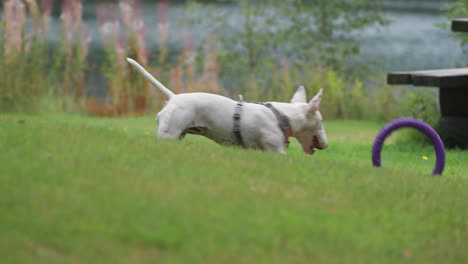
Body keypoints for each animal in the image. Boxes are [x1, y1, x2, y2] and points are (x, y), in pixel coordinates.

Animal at [126, 56, 328, 154]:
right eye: (321, 121)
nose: (326, 145)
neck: (280, 115)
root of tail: (174, 97)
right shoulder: (275, 150)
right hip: (169, 134)